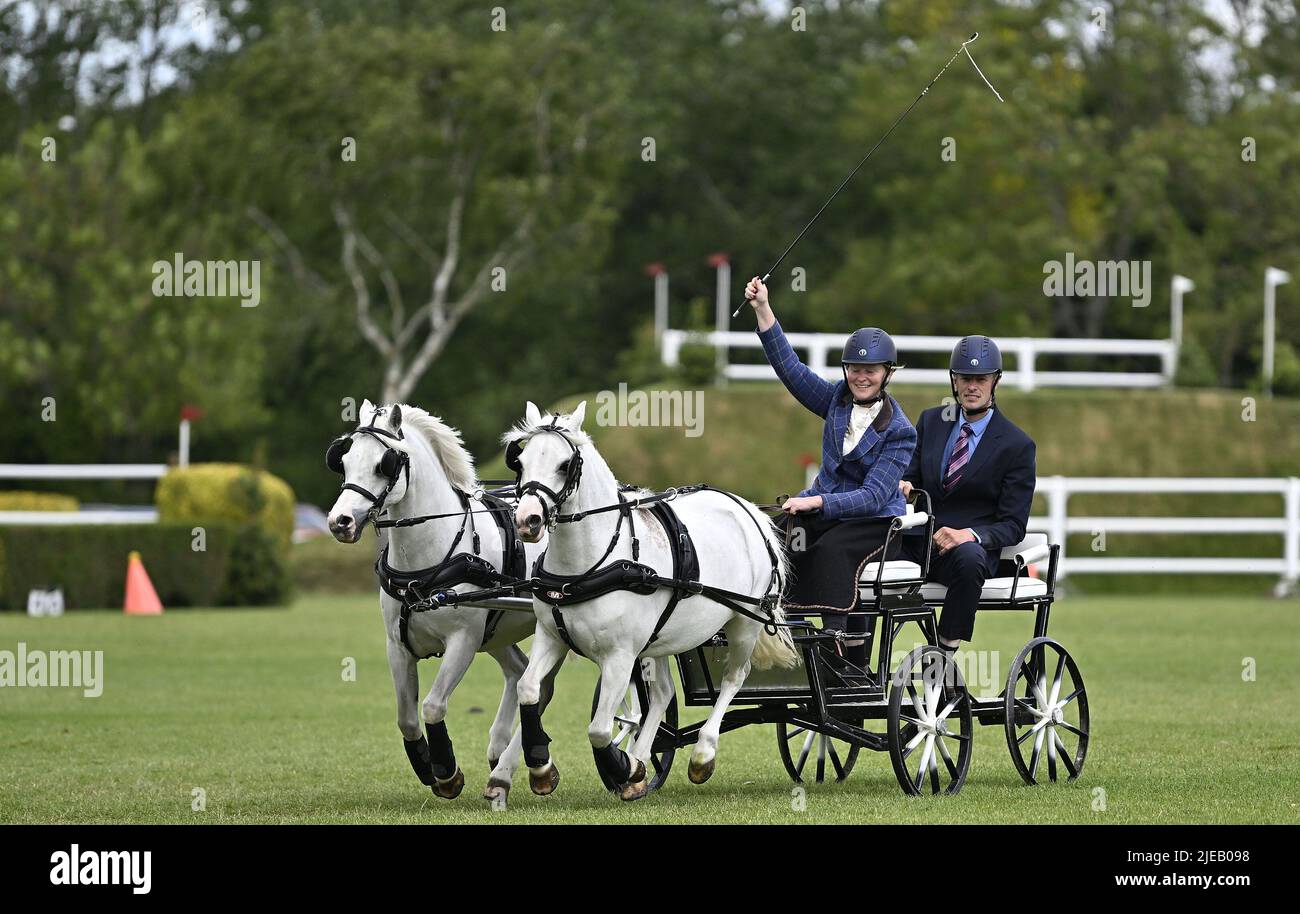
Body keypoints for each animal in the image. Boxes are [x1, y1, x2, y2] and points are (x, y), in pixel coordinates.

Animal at [330, 400, 548, 806]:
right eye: (345, 460)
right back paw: (500, 754)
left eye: (383, 464)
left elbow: (432, 706)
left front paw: (447, 772)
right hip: (497, 632)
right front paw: (426, 766)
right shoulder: (397, 645)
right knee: (520, 673)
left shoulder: (463, 641)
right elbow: (407, 717)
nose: (340, 522)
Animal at [504, 400, 790, 800]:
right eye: (521, 460)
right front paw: (542, 767)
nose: (527, 521)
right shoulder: (551, 637)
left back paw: (701, 754)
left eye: (564, 464)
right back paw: (641, 759)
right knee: (663, 693)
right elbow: (528, 689)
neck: (589, 565)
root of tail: (749, 510)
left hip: (744, 623)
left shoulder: (620, 656)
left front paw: (622, 768)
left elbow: (599, 729)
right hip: (662, 638)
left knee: (734, 677)